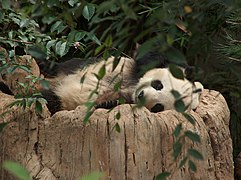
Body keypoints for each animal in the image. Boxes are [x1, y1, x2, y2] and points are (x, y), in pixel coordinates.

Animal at [40, 54, 203, 114]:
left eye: (158, 107)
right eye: (158, 85)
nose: (141, 96)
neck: (131, 89)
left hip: (63, 101)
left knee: (50, 99)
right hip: (76, 68)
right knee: (64, 65)